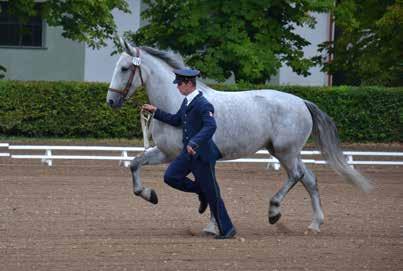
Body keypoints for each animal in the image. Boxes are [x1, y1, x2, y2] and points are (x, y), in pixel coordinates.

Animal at [106, 40, 372, 236]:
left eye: (125, 68)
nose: (110, 101)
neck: (178, 102)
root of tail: (302, 102)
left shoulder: (184, 155)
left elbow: (207, 186)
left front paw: (213, 225)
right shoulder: (165, 152)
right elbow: (134, 164)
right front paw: (150, 195)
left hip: (285, 152)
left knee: (296, 176)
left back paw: (274, 212)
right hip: (285, 152)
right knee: (310, 179)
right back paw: (315, 224)